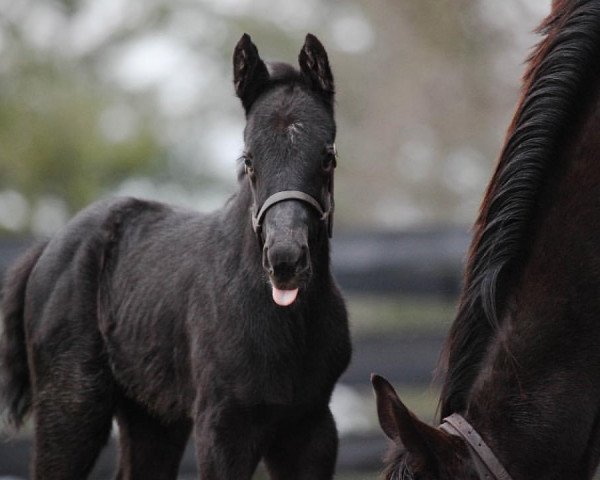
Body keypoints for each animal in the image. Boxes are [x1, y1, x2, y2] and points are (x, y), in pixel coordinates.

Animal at [0, 32, 350, 476]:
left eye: (327, 156)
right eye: (249, 159)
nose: (285, 259)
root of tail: (47, 247)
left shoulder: (311, 427)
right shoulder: (222, 427)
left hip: (152, 418)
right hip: (70, 408)